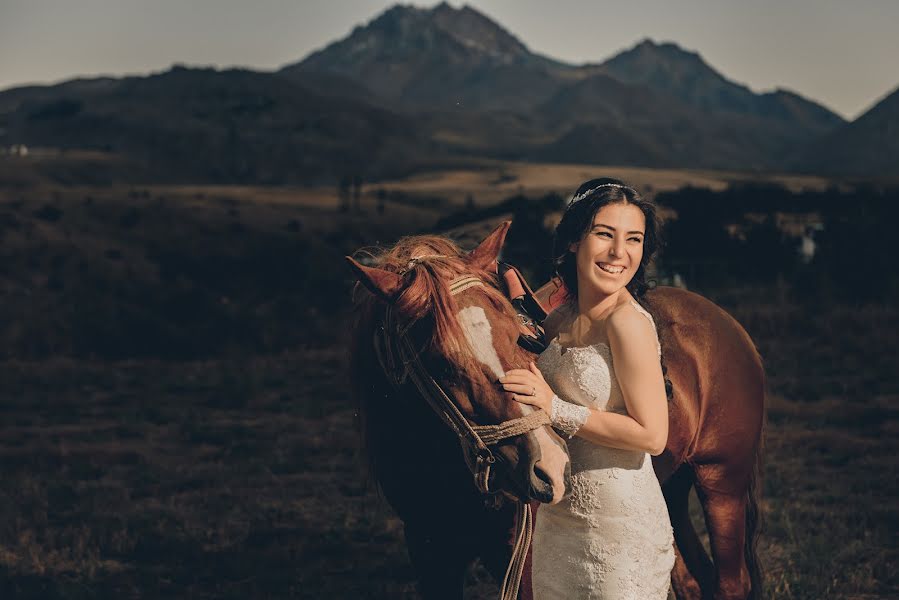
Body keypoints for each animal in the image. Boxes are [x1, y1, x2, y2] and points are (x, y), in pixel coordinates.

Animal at [348, 221, 764, 600]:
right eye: (441, 363)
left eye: (518, 336)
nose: (549, 465)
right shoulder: (430, 552)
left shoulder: (523, 563)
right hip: (673, 489)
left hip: (721, 483)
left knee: (731, 583)